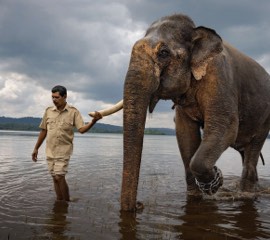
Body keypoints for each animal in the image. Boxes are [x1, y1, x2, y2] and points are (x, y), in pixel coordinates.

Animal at [120, 13, 270, 212]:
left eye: (163, 53)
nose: (139, 205)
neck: (195, 31)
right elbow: (185, 133)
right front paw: (196, 195)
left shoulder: (220, 77)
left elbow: (226, 128)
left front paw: (217, 181)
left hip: (265, 118)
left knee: (253, 148)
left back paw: (245, 193)